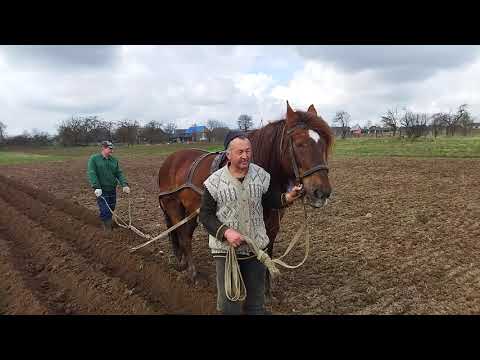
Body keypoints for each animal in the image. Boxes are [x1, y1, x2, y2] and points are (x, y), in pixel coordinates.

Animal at [158, 100, 334, 292]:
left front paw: (266, 291)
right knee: (183, 236)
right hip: (174, 207)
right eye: (299, 144)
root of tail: (171, 159)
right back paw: (193, 274)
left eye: (323, 143)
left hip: (192, 211)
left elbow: (267, 251)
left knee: (186, 235)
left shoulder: (271, 226)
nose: (322, 192)